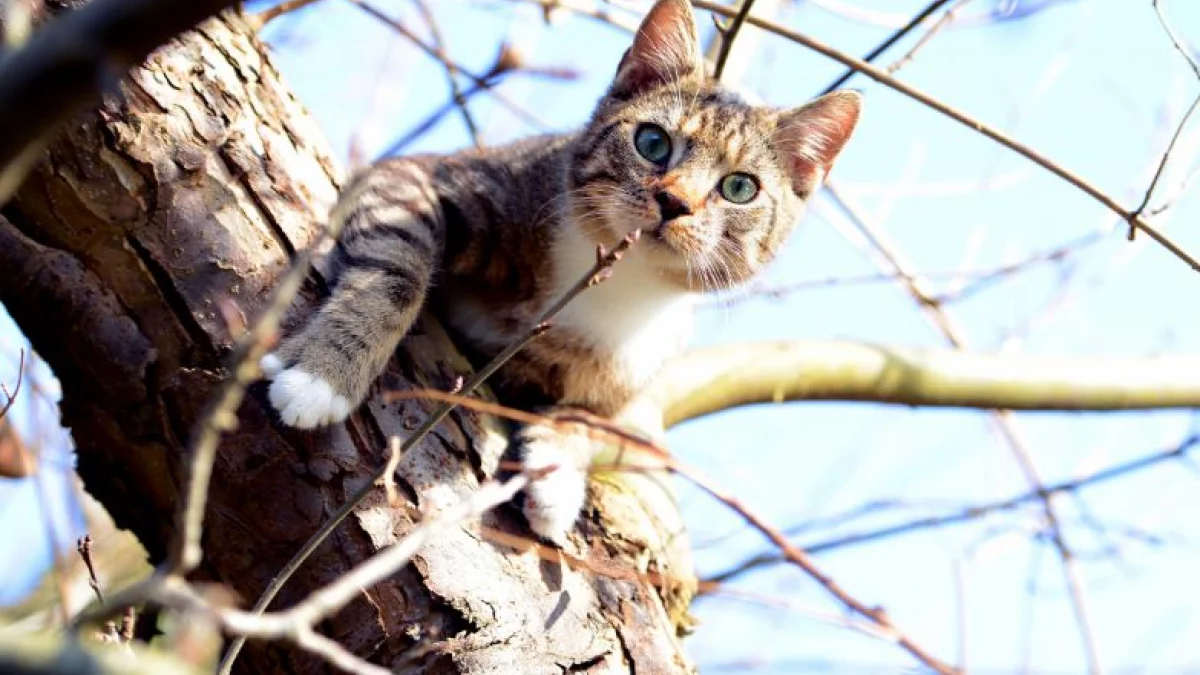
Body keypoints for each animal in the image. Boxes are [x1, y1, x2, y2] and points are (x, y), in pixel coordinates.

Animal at [262, 0, 864, 540]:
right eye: (652, 142)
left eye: (740, 187)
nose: (674, 202)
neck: (616, 284)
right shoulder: (417, 175)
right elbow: (395, 270)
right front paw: (322, 375)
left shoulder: (627, 375)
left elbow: (582, 416)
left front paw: (557, 478)